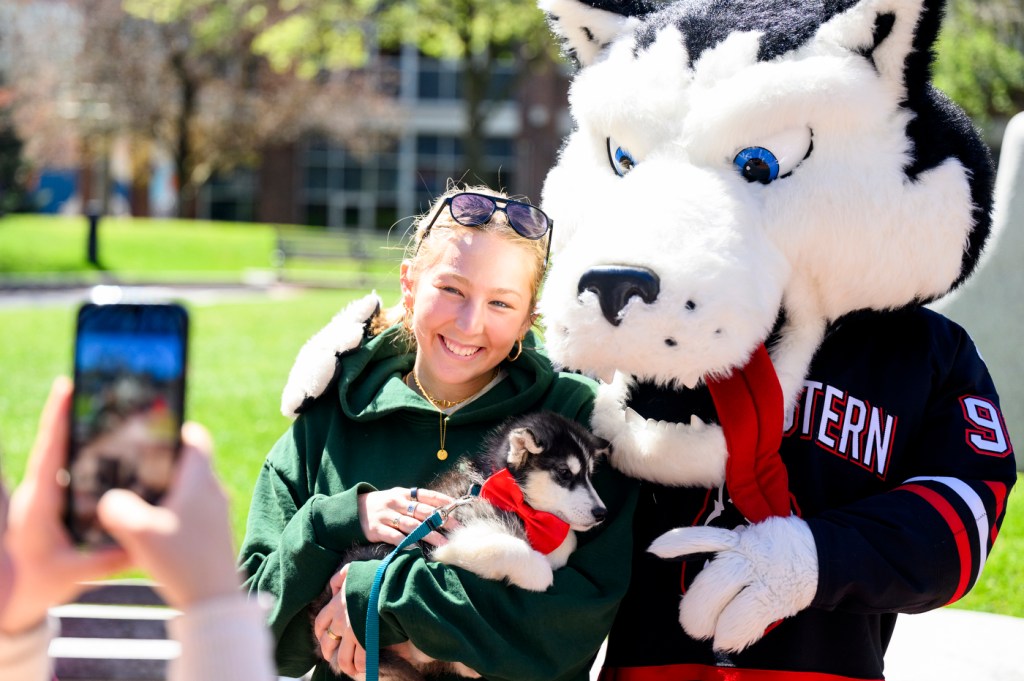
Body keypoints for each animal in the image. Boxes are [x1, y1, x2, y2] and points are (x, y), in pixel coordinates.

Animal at [315, 411, 606, 675]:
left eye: (591, 475)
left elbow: (566, 538)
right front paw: (539, 570)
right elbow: (515, 551)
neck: (502, 490)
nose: (601, 512)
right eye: (564, 473)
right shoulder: (457, 537)